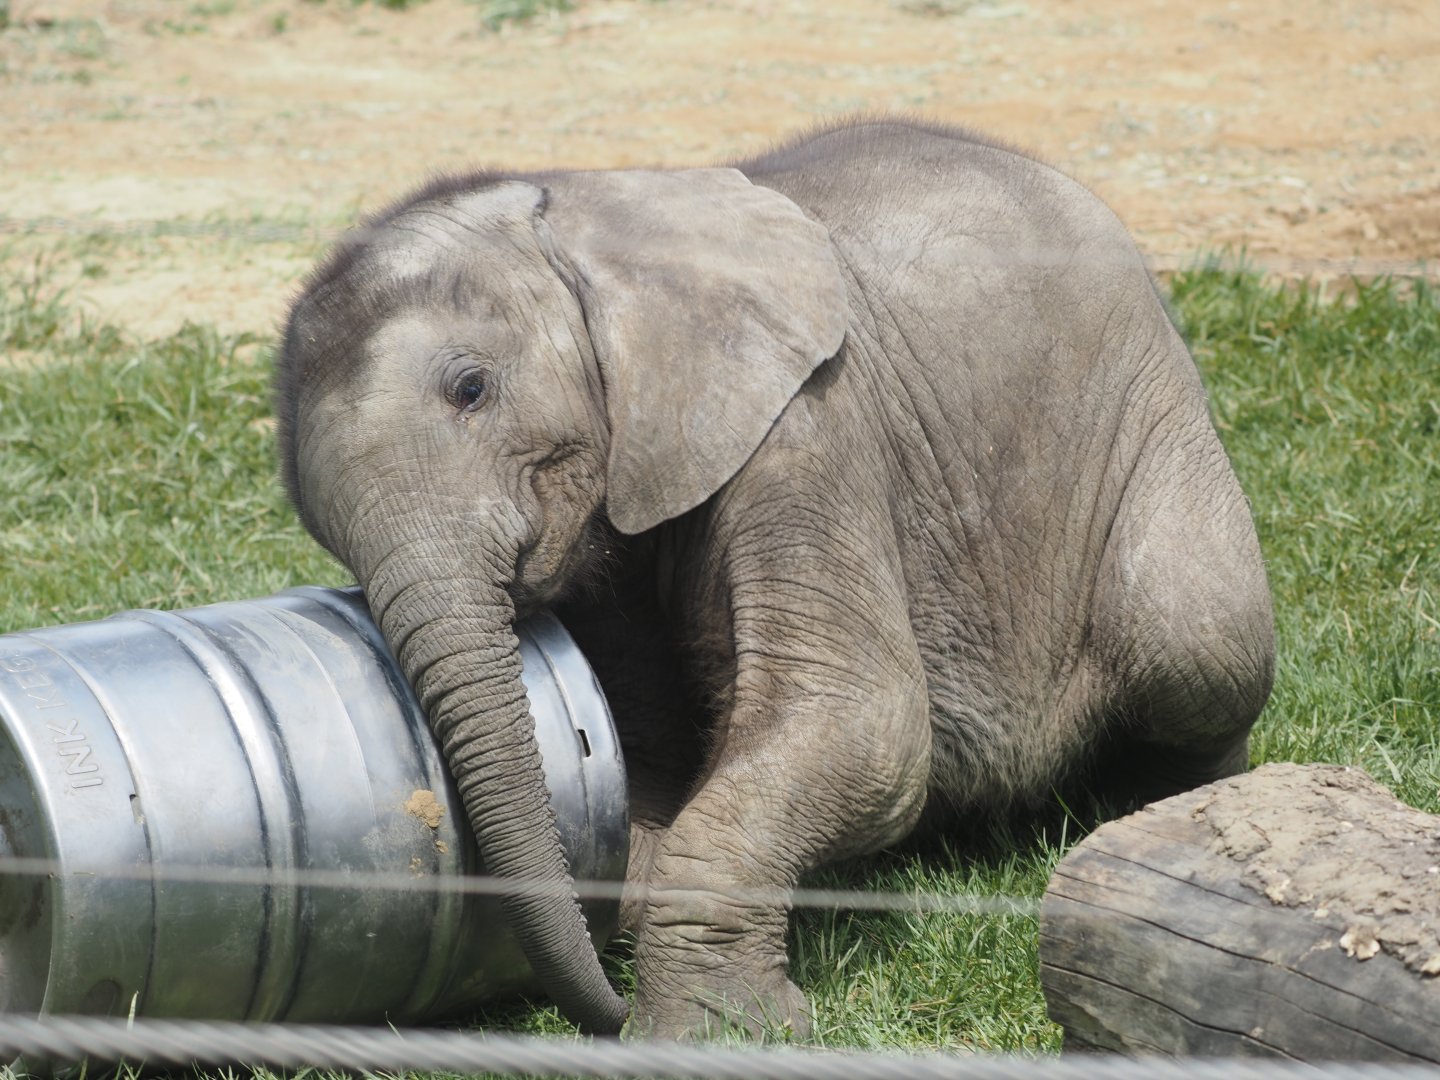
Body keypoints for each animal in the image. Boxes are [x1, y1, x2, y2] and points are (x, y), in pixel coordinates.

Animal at [275, 118, 1274, 1040]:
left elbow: (860, 721)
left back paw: (1163, 813)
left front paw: (712, 1033)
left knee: (1197, 644)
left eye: (471, 389)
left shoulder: (805, 427)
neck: (586, 213)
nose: (604, 1013)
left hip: (1156, 425)